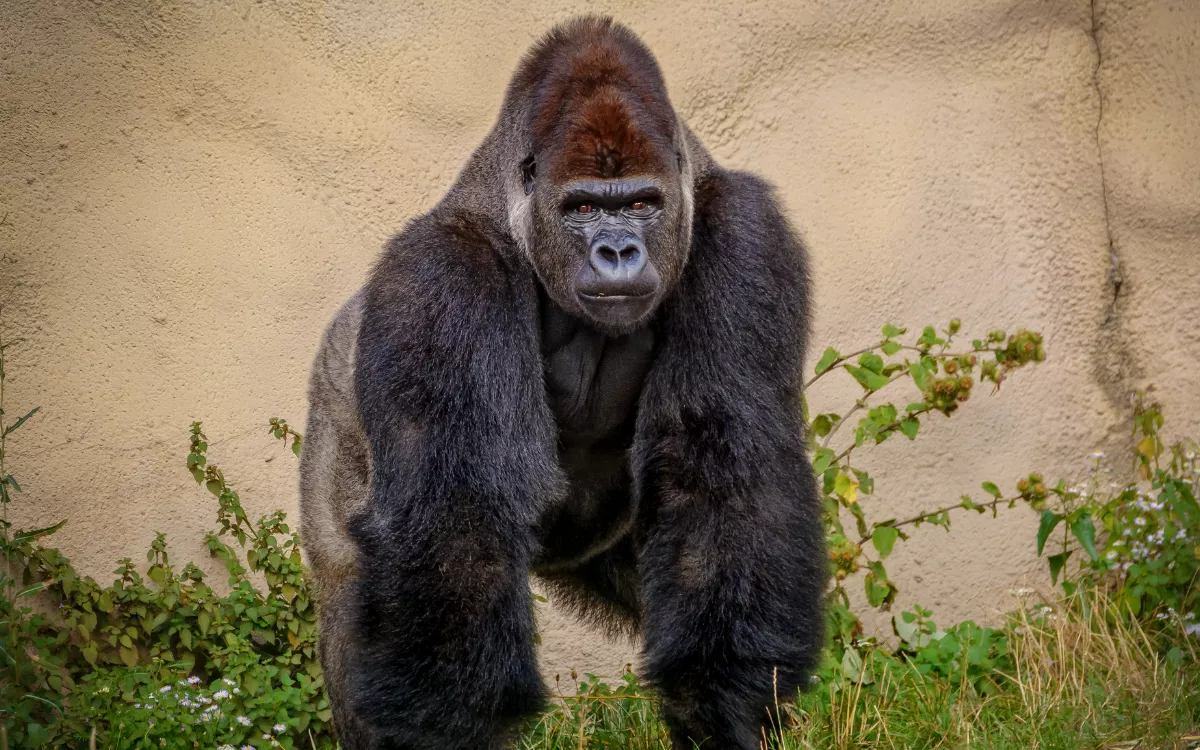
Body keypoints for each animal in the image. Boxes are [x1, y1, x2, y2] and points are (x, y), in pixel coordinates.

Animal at [298, 16, 825, 748]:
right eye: (580, 209)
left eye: (642, 203)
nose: (617, 252)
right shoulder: (442, 274)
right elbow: (457, 521)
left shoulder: (745, 233)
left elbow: (721, 480)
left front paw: (724, 708)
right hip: (330, 429)